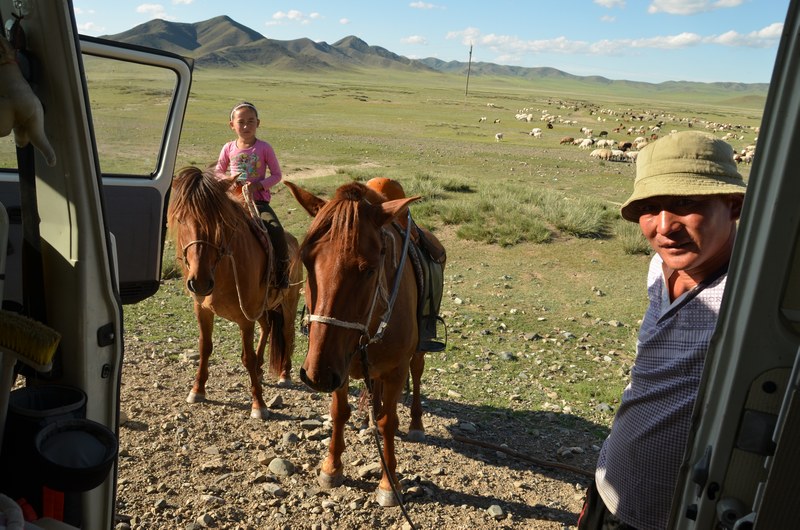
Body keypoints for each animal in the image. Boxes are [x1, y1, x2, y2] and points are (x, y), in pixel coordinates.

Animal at [168, 167, 304, 418]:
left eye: (218, 221)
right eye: (181, 219)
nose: (200, 283)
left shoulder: (245, 317)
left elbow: (247, 357)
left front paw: (259, 404)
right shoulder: (202, 310)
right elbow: (205, 348)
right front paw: (197, 390)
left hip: (289, 303)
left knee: (287, 334)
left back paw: (284, 375)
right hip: (263, 308)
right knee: (267, 327)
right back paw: (261, 369)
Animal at [288, 179, 438, 506]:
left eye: (368, 269)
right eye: (306, 260)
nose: (316, 375)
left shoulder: (394, 370)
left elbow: (388, 422)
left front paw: (388, 484)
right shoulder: (337, 364)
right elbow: (338, 412)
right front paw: (331, 467)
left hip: (417, 353)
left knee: (417, 374)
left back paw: (416, 424)